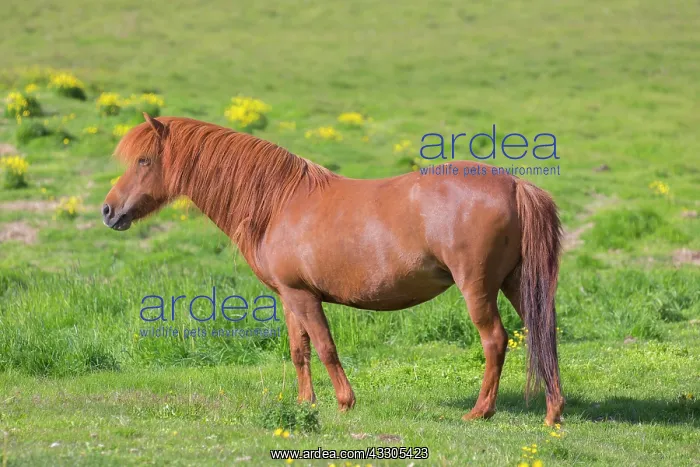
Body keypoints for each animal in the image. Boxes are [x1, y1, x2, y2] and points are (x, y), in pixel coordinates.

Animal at [103, 113, 565, 425]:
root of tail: (515, 184)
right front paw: (305, 405)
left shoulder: (304, 296)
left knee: (495, 340)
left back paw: (480, 411)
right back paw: (553, 411)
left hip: (478, 287)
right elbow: (299, 350)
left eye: (144, 160)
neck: (278, 204)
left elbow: (325, 347)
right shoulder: (290, 296)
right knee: (544, 332)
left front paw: (344, 403)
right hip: (517, 284)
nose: (108, 211)